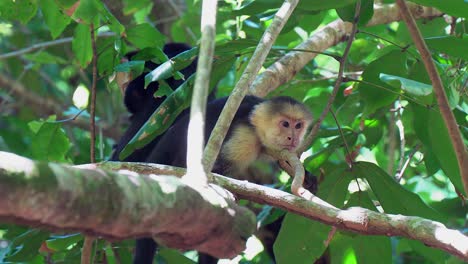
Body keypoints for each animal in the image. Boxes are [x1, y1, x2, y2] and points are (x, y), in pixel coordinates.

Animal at [133, 95, 312, 264]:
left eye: (298, 126)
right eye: (285, 124)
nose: (293, 138)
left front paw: (309, 179)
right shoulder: (245, 135)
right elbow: (215, 170)